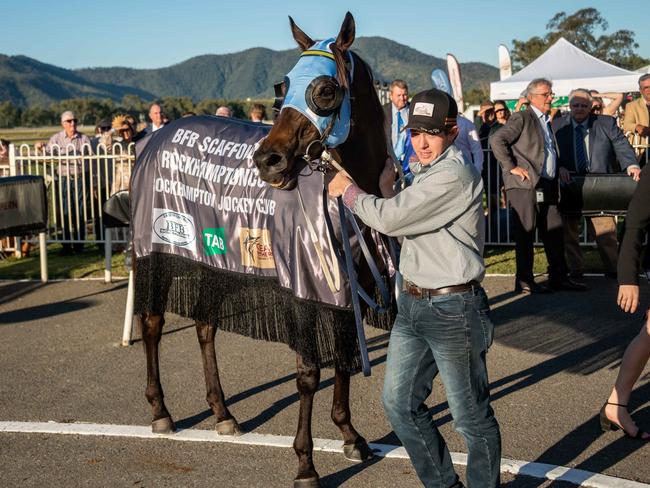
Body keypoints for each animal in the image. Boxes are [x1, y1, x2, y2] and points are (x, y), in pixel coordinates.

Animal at [130, 11, 388, 488]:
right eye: (280, 88)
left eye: (324, 90)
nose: (267, 160)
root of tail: (153, 138)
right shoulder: (307, 285)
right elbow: (309, 373)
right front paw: (306, 463)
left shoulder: (347, 287)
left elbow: (343, 358)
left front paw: (350, 436)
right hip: (159, 251)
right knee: (153, 323)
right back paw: (161, 410)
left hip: (212, 255)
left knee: (205, 327)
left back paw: (222, 412)